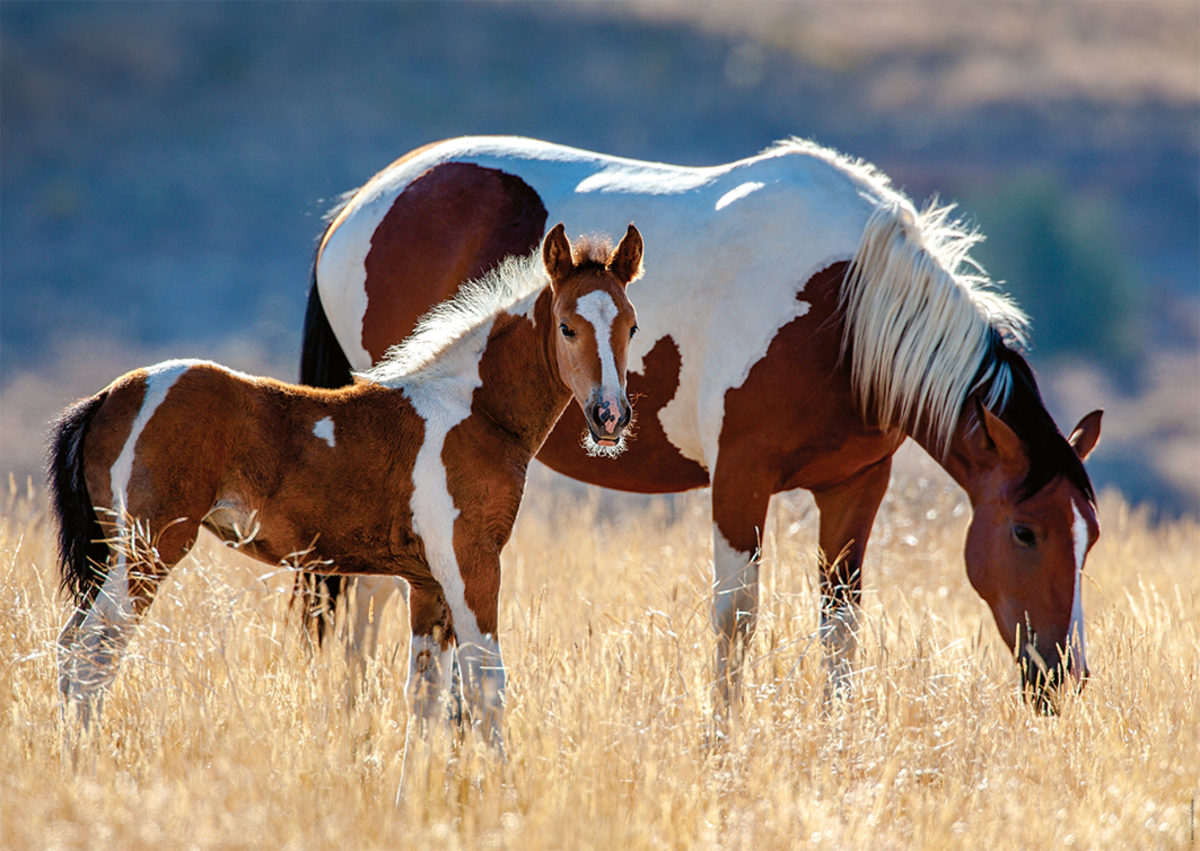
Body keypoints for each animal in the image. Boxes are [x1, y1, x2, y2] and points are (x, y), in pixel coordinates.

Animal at [50, 224, 643, 744]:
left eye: (631, 327)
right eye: (566, 326)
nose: (610, 416)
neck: (475, 411)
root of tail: (108, 398)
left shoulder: (427, 583)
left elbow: (425, 698)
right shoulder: (471, 564)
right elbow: (485, 688)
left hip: (114, 557)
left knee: (69, 649)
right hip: (147, 551)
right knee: (92, 657)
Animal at [302, 138, 1104, 710]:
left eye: (1087, 538)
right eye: (1026, 531)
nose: (1061, 675)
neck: (844, 311)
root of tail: (355, 211)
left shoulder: (855, 489)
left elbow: (839, 627)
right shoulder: (739, 480)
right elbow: (736, 620)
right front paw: (724, 744)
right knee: (369, 593)